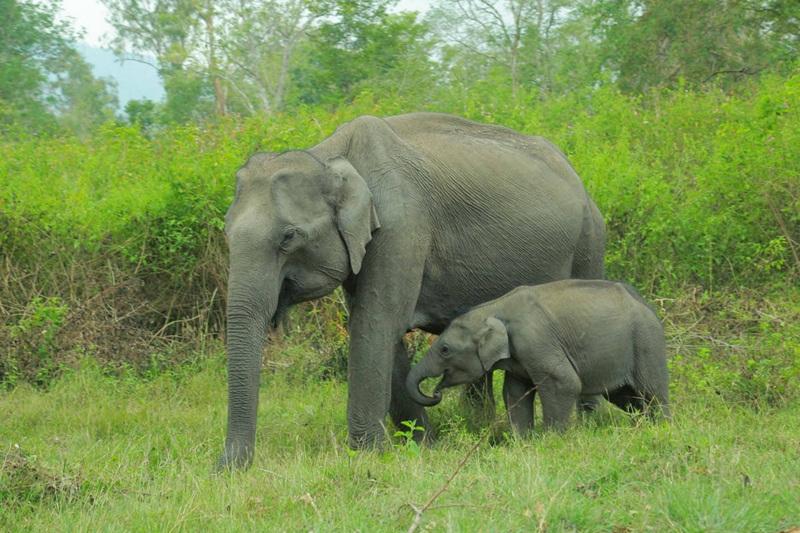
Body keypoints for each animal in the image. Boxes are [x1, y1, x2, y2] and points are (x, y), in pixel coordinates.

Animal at [219, 112, 605, 469]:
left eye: (289, 237)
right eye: (226, 231)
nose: (225, 468)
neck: (328, 155)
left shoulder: (402, 227)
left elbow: (376, 323)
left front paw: (368, 455)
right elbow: (379, 329)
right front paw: (422, 445)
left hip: (589, 240)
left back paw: (590, 425)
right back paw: (480, 425)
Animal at [406, 280, 670, 434]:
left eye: (444, 349)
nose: (435, 393)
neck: (493, 308)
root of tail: (647, 305)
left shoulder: (536, 341)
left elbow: (564, 383)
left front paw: (551, 438)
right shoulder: (518, 356)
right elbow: (514, 392)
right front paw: (523, 440)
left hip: (646, 343)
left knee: (653, 392)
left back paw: (661, 427)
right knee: (628, 397)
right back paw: (642, 427)